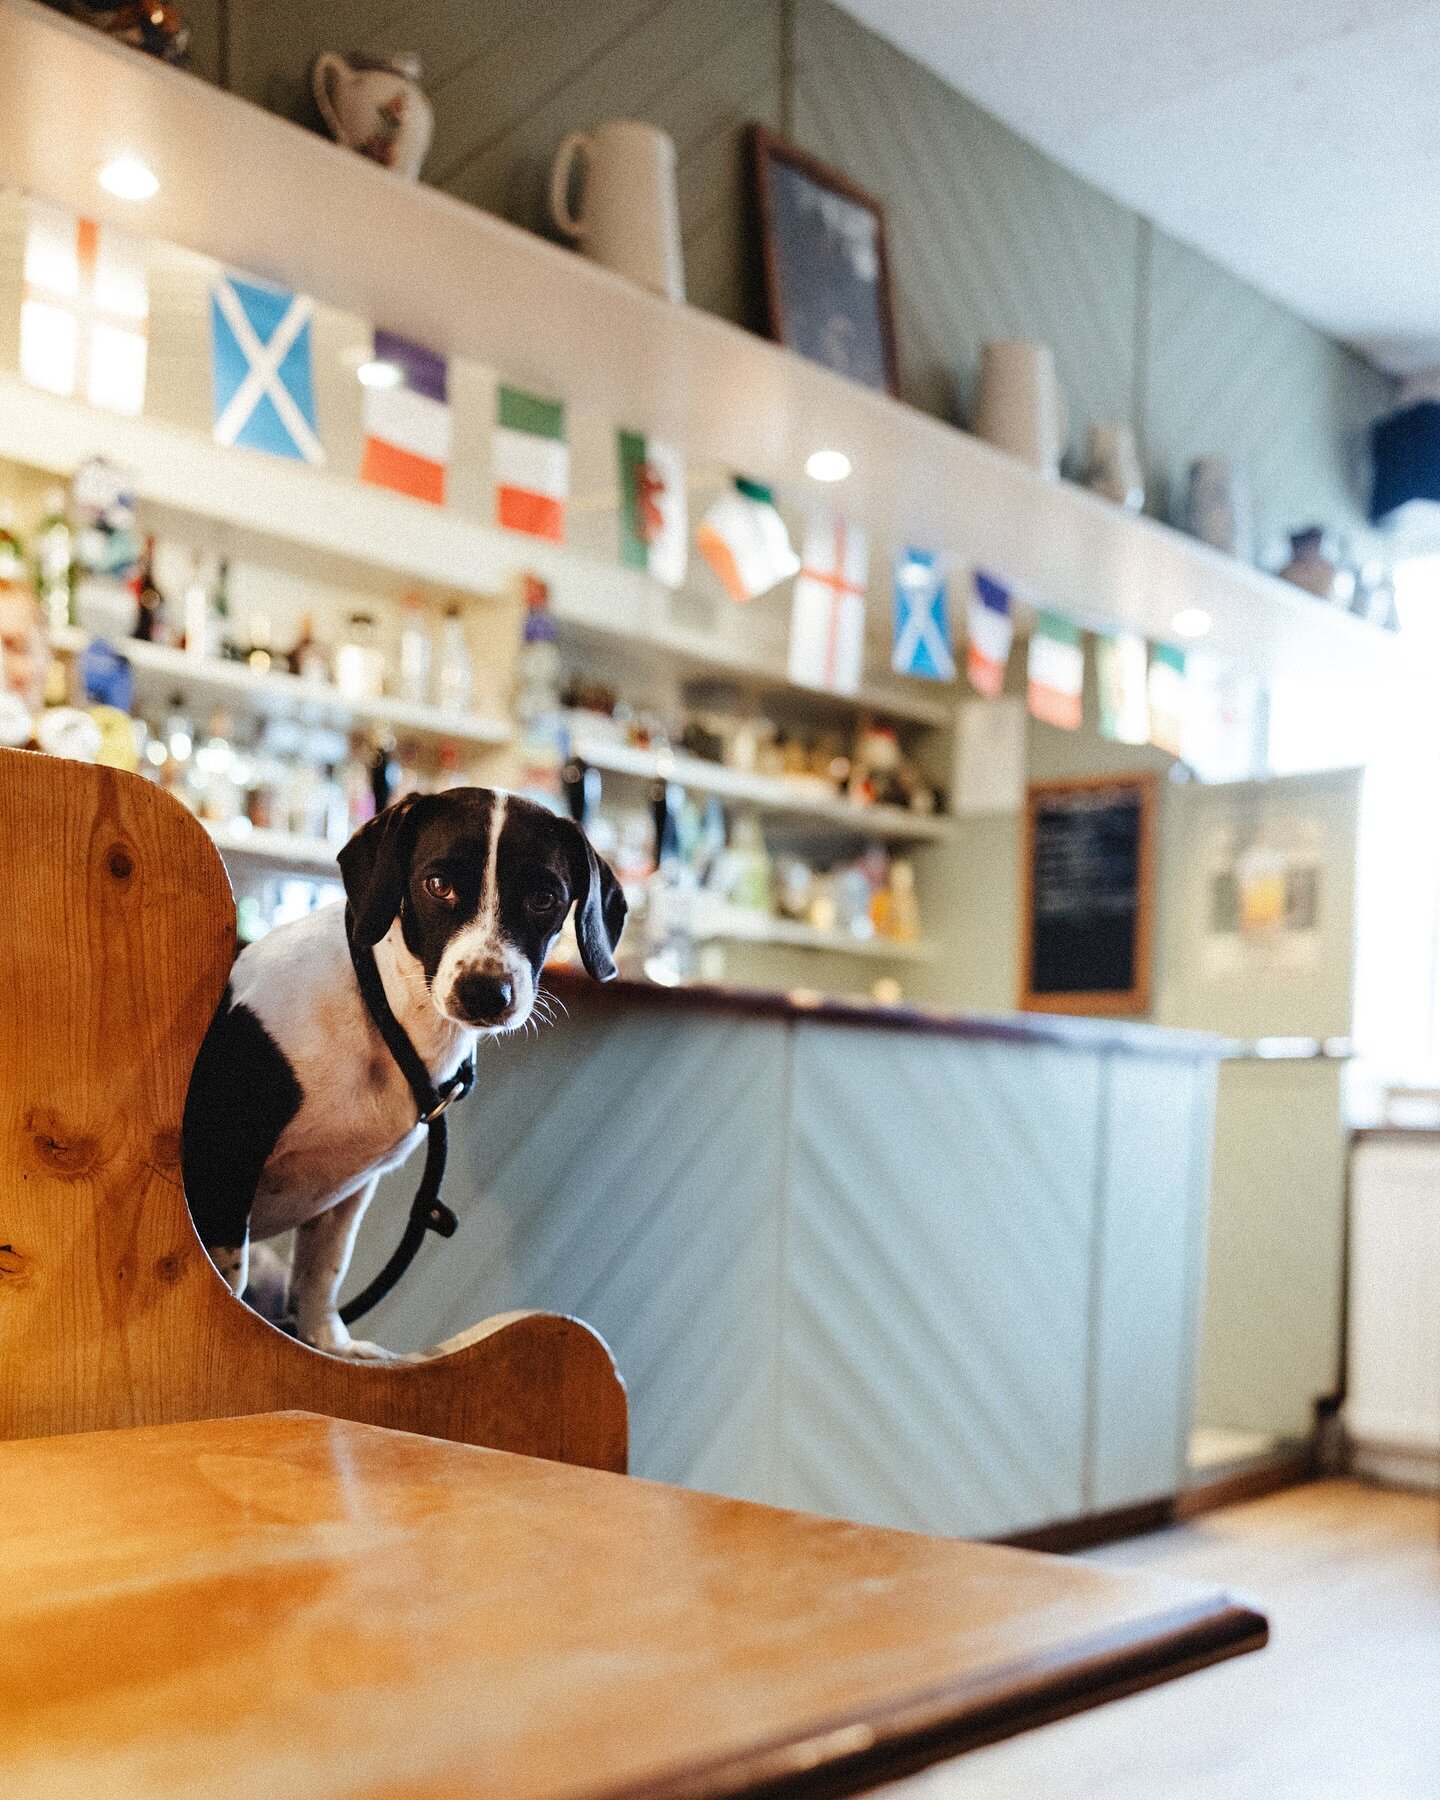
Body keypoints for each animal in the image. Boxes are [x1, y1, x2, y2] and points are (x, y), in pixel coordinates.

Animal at [184, 788, 622, 1353]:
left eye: (544, 898)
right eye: (438, 885)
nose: (486, 991)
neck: (382, 1012)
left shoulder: (346, 1197)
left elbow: (322, 1273)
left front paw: (327, 1346)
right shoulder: (225, 1162)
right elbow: (230, 1276)